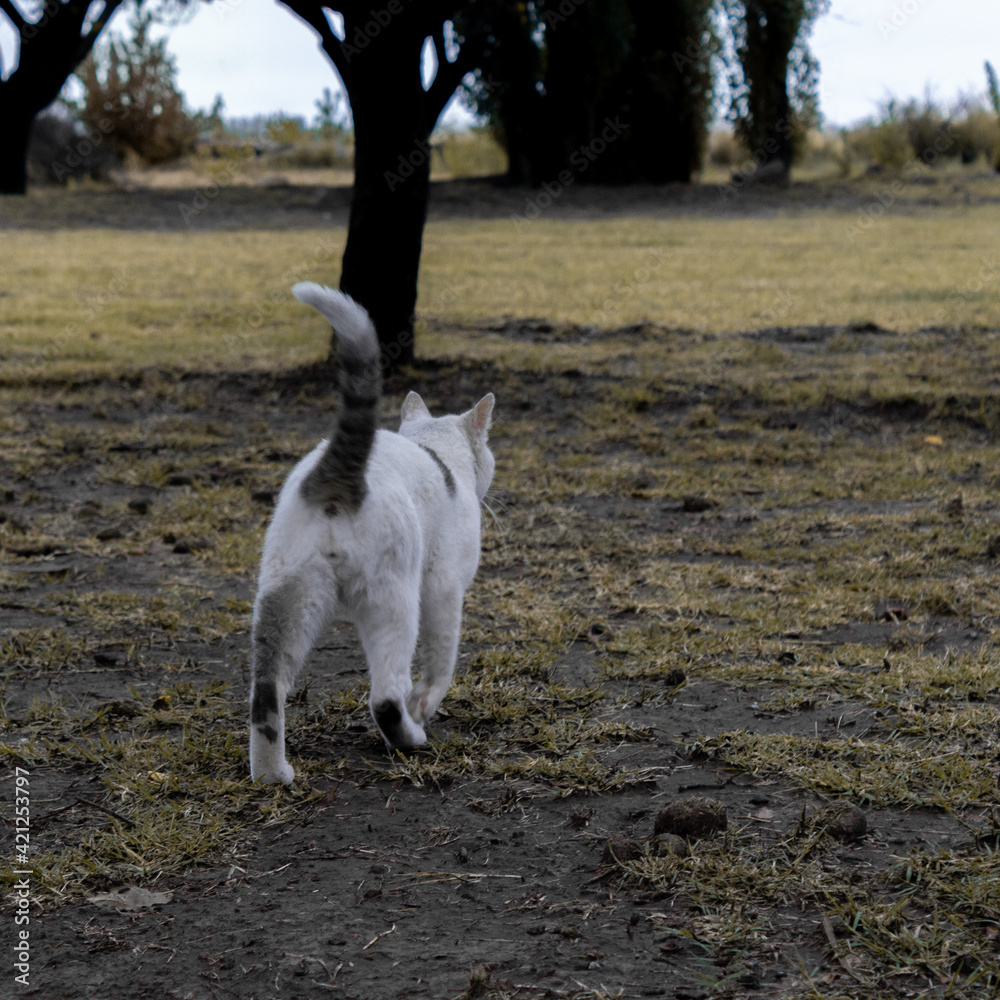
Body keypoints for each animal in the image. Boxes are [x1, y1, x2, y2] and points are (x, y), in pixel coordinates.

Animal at [248, 286, 494, 784]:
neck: (436, 450)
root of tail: (338, 473)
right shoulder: (445, 588)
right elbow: (441, 661)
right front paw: (425, 705)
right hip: (394, 598)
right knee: (385, 694)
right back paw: (410, 738)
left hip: (285, 593)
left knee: (267, 691)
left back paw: (271, 774)